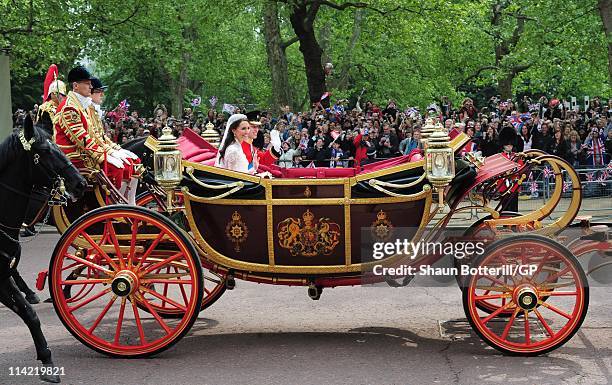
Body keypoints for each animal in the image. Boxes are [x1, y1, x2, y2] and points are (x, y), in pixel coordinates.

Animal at [0, 115, 87, 382]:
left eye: (58, 145)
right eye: (45, 150)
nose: (80, 184)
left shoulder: (2, 275)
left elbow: (29, 314)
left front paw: (46, 359)